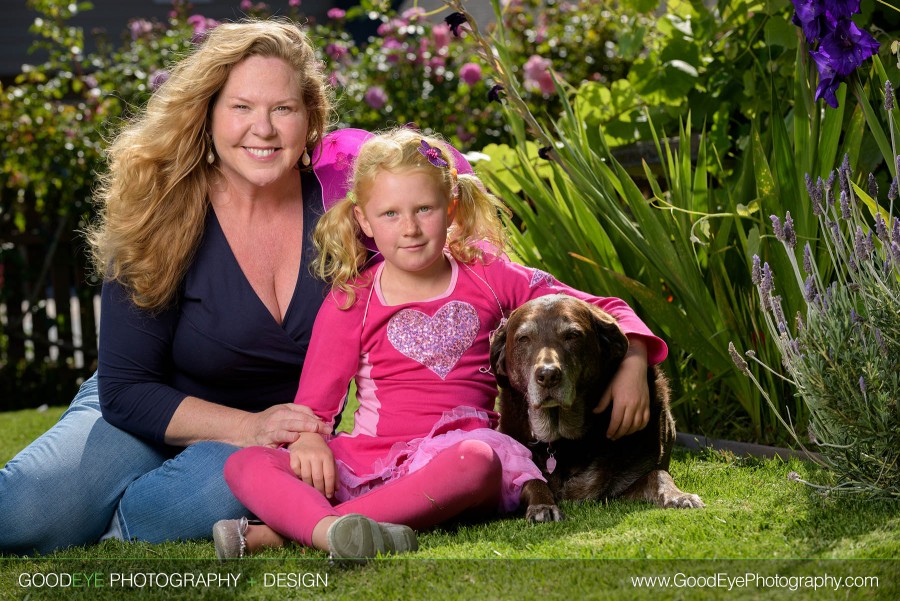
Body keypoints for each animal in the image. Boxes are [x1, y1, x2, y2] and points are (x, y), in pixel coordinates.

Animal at [492, 292, 704, 516]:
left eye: (573, 335)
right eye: (524, 339)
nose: (548, 375)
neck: (563, 444)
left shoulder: (622, 490)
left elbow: (658, 475)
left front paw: (678, 496)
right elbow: (531, 479)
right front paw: (542, 505)